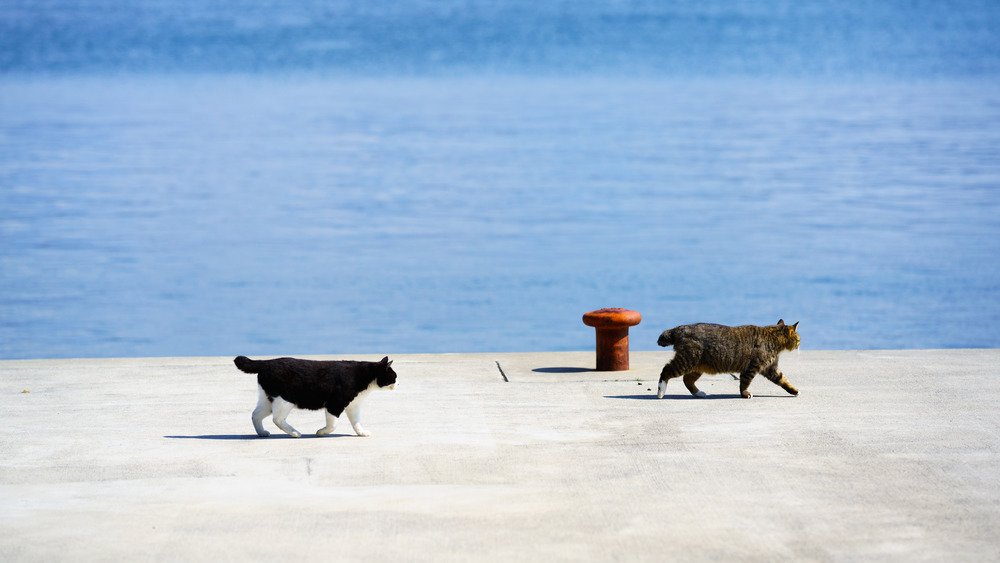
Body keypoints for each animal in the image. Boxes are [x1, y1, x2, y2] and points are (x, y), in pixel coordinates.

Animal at [232, 354, 396, 438]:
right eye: (394, 377)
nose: (399, 383)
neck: (366, 376)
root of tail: (267, 363)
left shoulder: (353, 407)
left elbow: (356, 422)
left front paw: (361, 432)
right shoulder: (334, 404)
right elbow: (332, 425)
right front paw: (321, 432)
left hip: (268, 399)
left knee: (256, 415)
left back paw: (262, 433)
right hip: (285, 400)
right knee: (277, 419)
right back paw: (295, 433)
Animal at [656, 320, 796, 398]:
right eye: (798, 338)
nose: (799, 344)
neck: (771, 336)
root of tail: (682, 328)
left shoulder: (770, 369)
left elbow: (783, 380)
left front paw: (794, 390)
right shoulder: (751, 368)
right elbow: (744, 383)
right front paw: (745, 394)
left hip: (697, 366)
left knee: (687, 380)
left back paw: (698, 393)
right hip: (686, 361)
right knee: (666, 371)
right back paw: (661, 391)